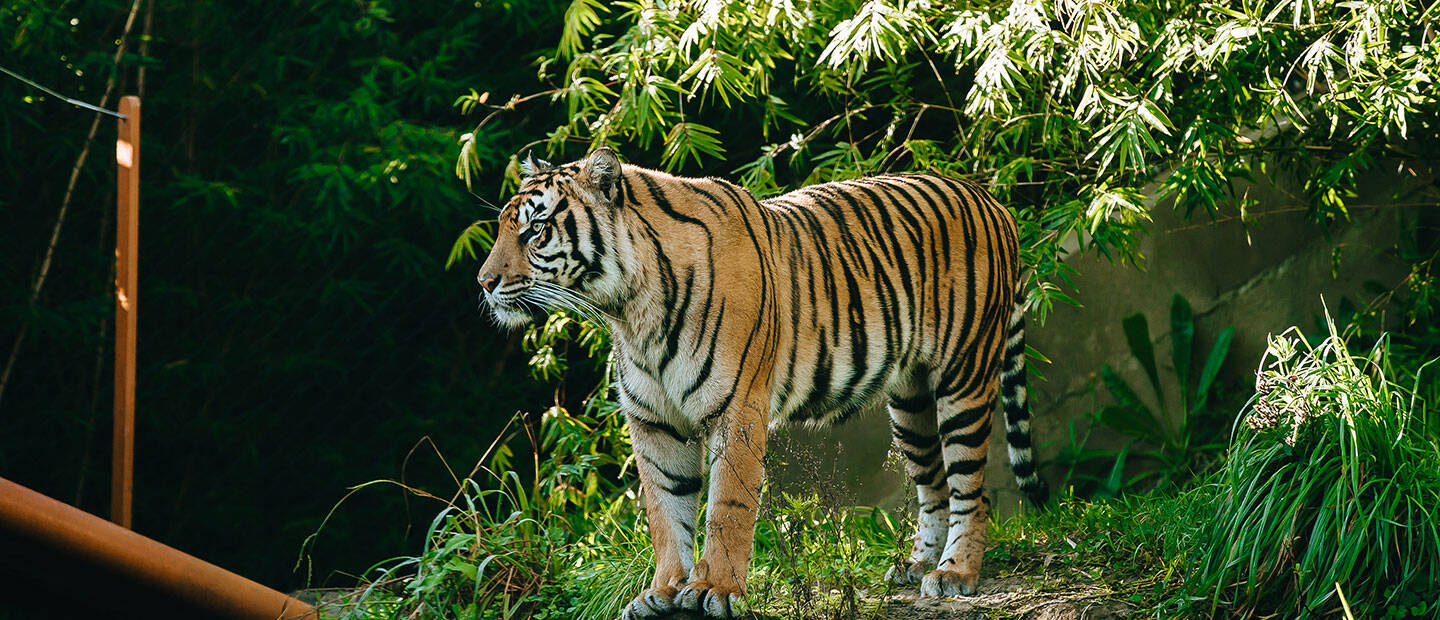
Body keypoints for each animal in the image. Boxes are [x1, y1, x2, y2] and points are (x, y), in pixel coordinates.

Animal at [476, 147, 1049, 618]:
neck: (630, 306)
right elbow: (666, 509)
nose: (483, 282)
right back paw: (917, 566)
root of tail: (991, 199)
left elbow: (726, 506)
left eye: (534, 230)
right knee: (933, 485)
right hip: (910, 401)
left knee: (972, 486)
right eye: (504, 228)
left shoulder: (737, 406)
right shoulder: (654, 420)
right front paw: (662, 592)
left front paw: (714, 590)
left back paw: (955, 574)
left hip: (963, 377)